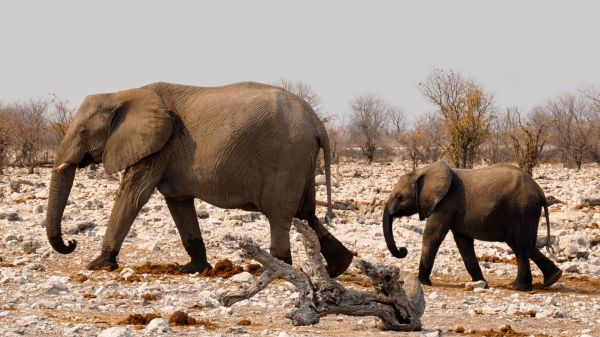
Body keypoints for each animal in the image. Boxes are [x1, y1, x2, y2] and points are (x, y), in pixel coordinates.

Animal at [48, 80, 356, 276]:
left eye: (83, 132)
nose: (71, 243)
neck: (121, 95)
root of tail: (316, 123)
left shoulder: (160, 145)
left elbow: (133, 195)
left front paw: (98, 265)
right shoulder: (166, 149)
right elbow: (178, 201)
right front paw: (194, 269)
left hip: (287, 158)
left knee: (281, 215)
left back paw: (277, 268)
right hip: (301, 161)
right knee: (307, 213)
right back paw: (339, 266)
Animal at [384, 159, 564, 288]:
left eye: (399, 197)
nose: (403, 250)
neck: (423, 171)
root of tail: (540, 192)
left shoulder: (445, 204)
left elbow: (432, 236)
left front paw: (422, 282)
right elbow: (463, 243)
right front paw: (482, 284)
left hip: (522, 209)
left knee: (519, 246)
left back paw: (516, 287)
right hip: (527, 212)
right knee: (527, 245)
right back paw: (553, 278)